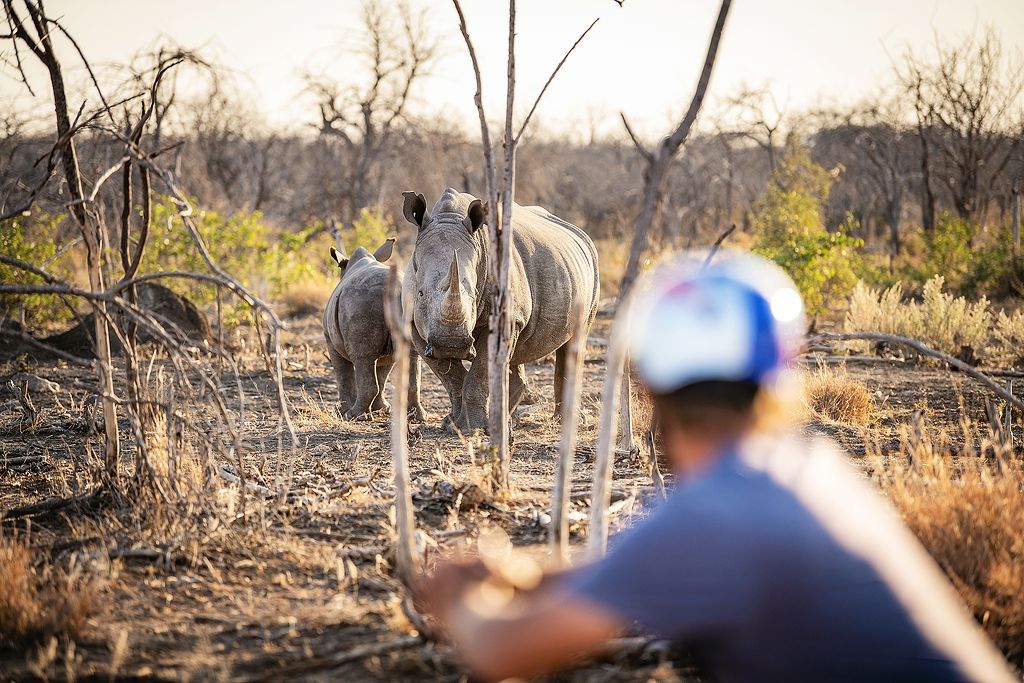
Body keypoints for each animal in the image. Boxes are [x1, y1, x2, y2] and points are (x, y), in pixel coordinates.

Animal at [322, 238, 424, 421]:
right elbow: (382, 373)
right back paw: (416, 417)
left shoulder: (330, 342)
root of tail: (394, 290)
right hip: (410, 302)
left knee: (362, 359)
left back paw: (353, 416)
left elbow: (343, 374)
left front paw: (341, 411)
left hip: (360, 302)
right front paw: (382, 408)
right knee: (411, 355)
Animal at [401, 188, 599, 433]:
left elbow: (478, 374)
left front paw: (472, 428)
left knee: (576, 339)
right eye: (420, 293)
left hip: (592, 270)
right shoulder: (415, 325)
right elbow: (451, 377)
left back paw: (566, 422)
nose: (451, 344)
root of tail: (580, 234)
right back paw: (508, 420)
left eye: (474, 293)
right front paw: (453, 425)